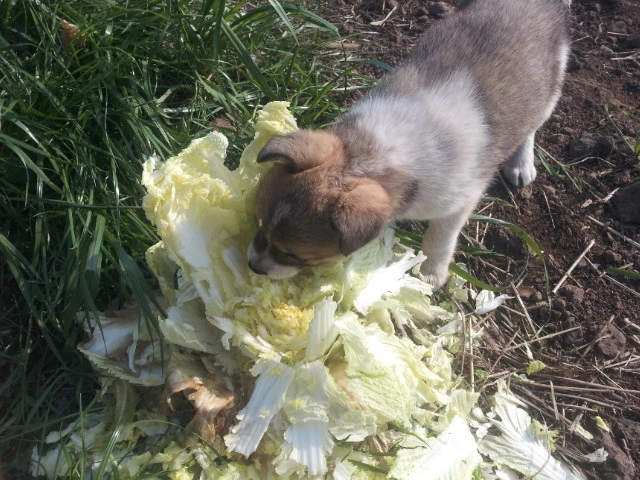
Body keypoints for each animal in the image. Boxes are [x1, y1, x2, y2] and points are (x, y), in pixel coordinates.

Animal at [248, 0, 570, 288]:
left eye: (295, 256)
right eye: (259, 223)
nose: (253, 267)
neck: (373, 155)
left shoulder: (460, 201)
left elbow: (440, 237)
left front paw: (430, 272)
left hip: (550, 89)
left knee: (532, 125)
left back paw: (521, 163)